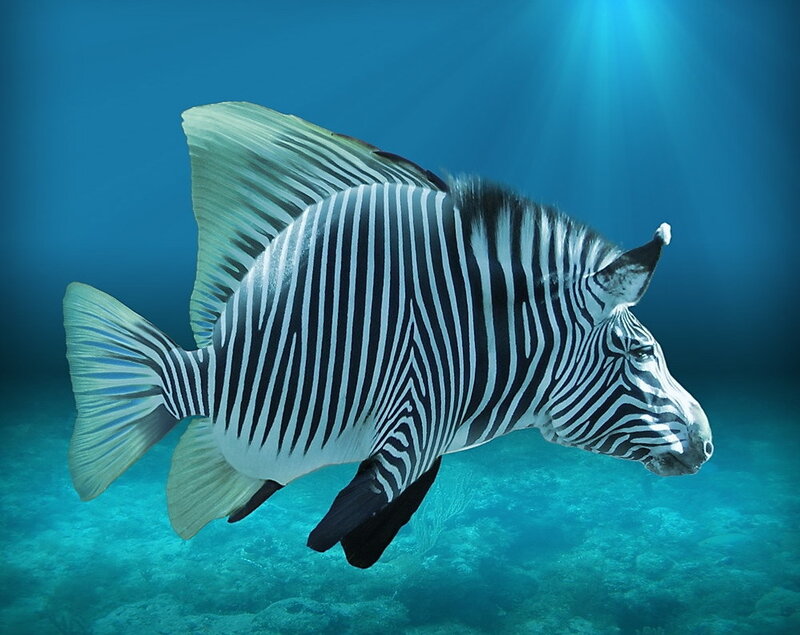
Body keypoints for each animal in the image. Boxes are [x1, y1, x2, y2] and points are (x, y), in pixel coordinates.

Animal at [64, 102, 713, 568]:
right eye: (639, 352)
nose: (708, 445)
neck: (498, 342)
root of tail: (185, 369)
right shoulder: (419, 418)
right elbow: (362, 511)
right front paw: (338, 541)